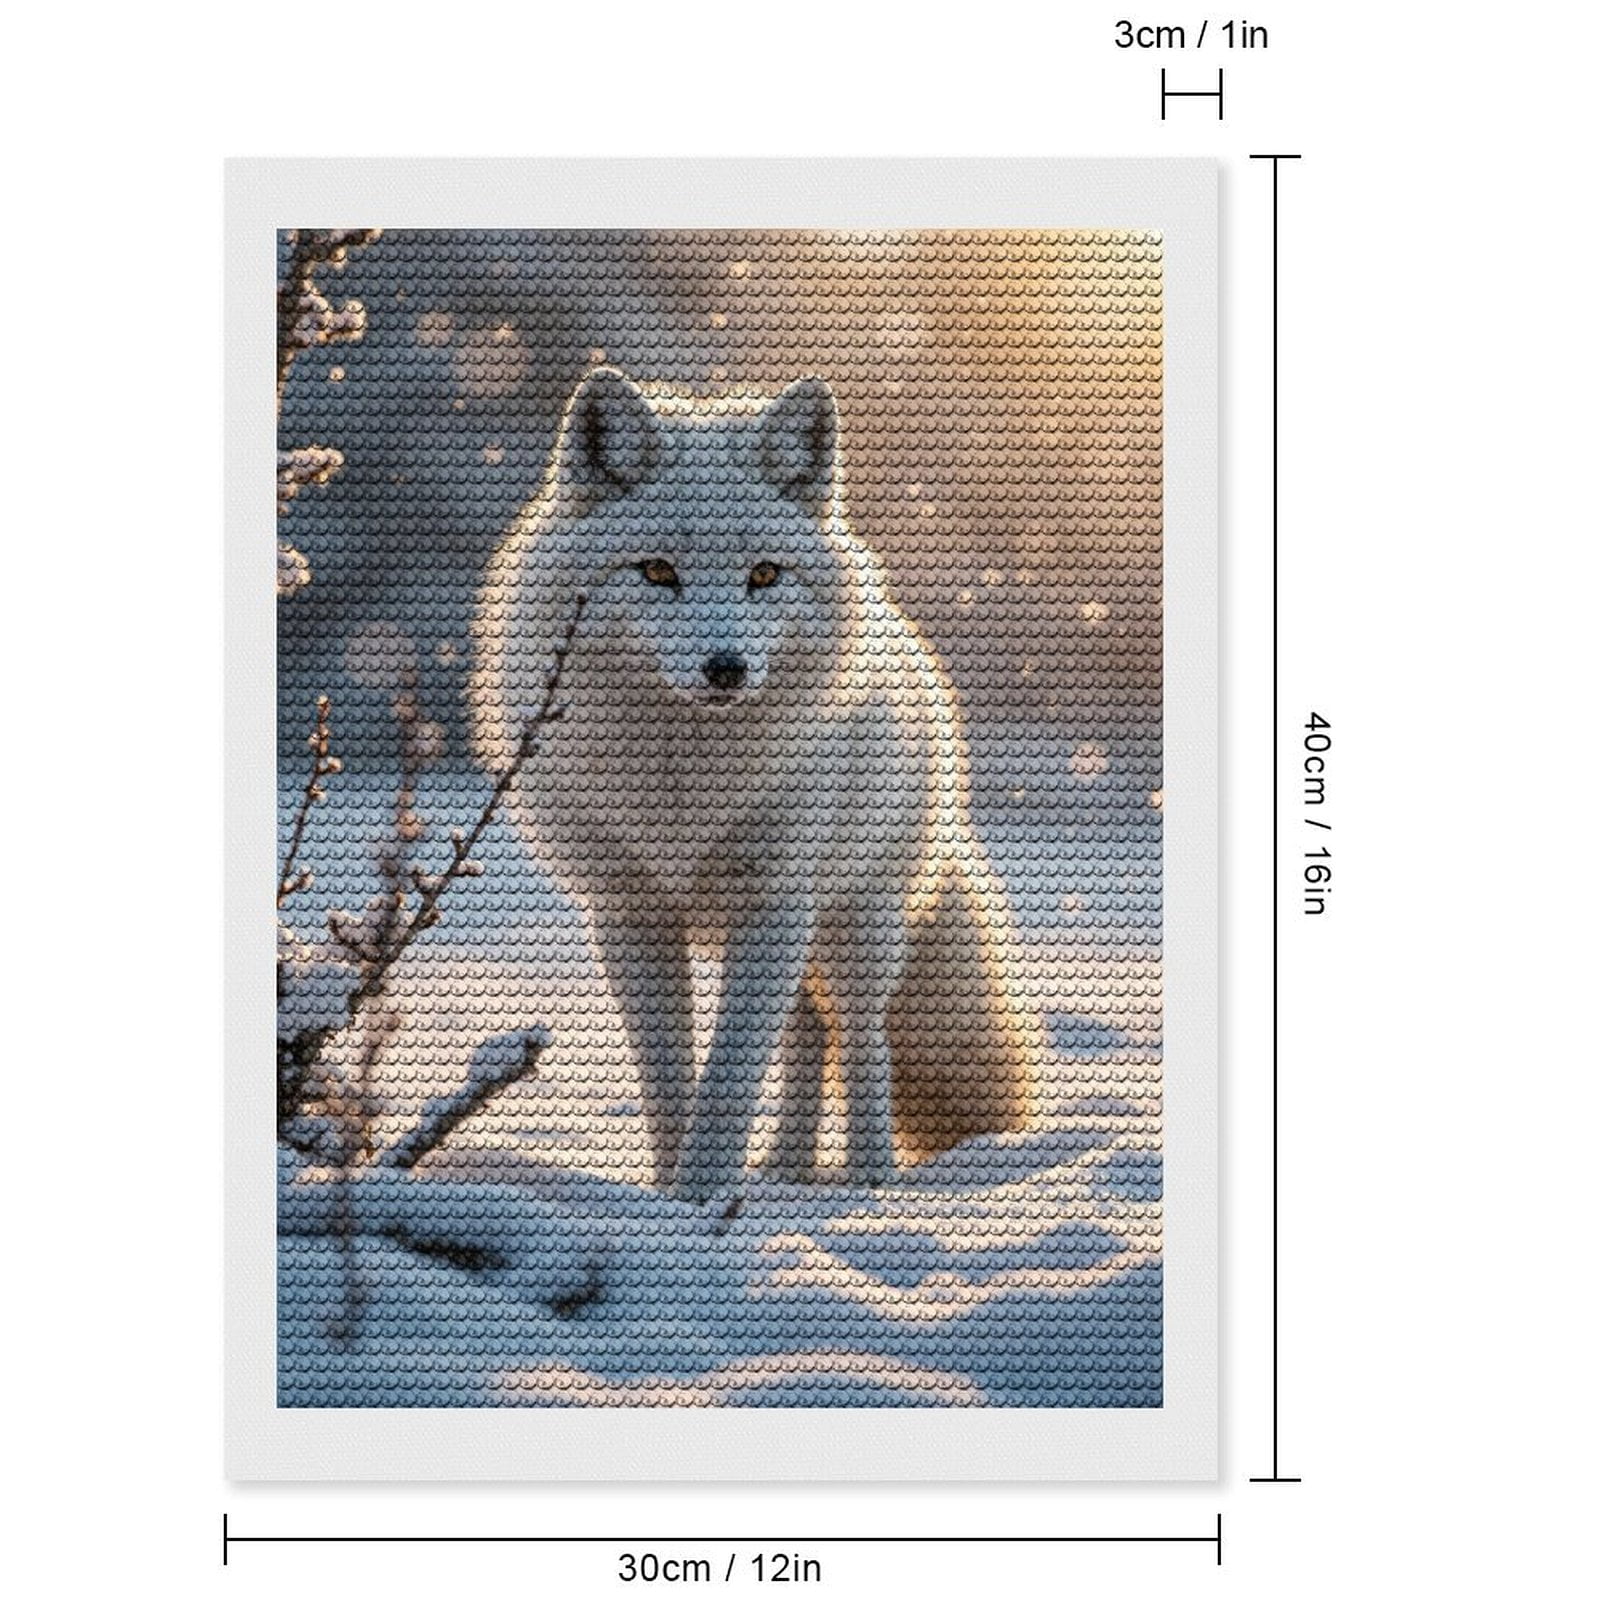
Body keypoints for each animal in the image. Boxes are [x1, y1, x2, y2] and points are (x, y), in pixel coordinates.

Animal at [471, 367, 1040, 1204]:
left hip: (854, 930)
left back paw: (869, 1183)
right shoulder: (632, 917)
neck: (686, 786)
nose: (726, 668)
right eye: (657, 570)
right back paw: (788, 1169)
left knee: (859, 1037)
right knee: (810, 1035)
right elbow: (670, 1080)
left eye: (764, 574)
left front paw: (704, 1198)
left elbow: (731, 1078)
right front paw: (669, 1203)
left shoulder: (775, 906)